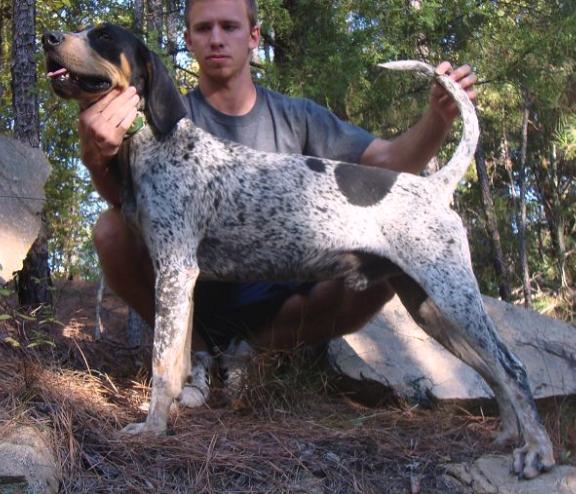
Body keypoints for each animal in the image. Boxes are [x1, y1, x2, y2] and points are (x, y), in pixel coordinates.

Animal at [41, 24, 552, 478]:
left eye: (104, 36)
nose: (48, 38)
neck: (156, 140)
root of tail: (436, 185)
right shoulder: (178, 277)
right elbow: (181, 357)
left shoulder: (175, 269)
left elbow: (163, 364)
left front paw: (151, 429)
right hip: (429, 306)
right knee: (494, 371)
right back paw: (510, 436)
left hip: (452, 294)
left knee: (514, 368)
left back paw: (537, 453)